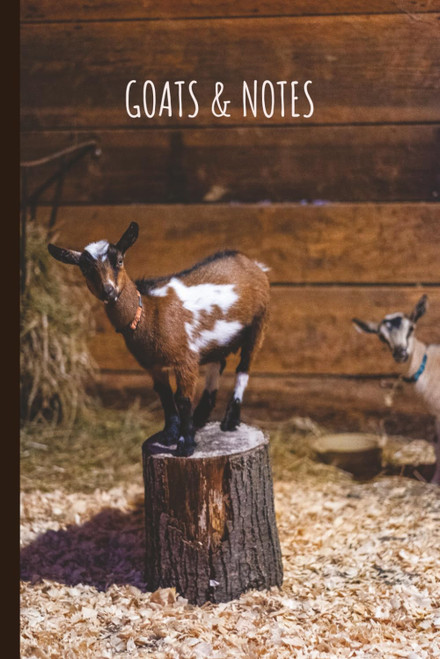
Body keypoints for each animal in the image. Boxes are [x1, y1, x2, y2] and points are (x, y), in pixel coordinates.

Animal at [48, 222, 270, 457]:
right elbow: (165, 395)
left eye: (119, 260)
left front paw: (185, 444)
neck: (148, 313)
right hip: (217, 341)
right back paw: (201, 416)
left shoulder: (185, 360)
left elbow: (183, 400)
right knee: (219, 363)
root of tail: (252, 263)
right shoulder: (152, 364)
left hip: (259, 324)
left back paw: (230, 420)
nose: (108, 291)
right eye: (85, 269)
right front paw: (169, 434)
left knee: (243, 368)